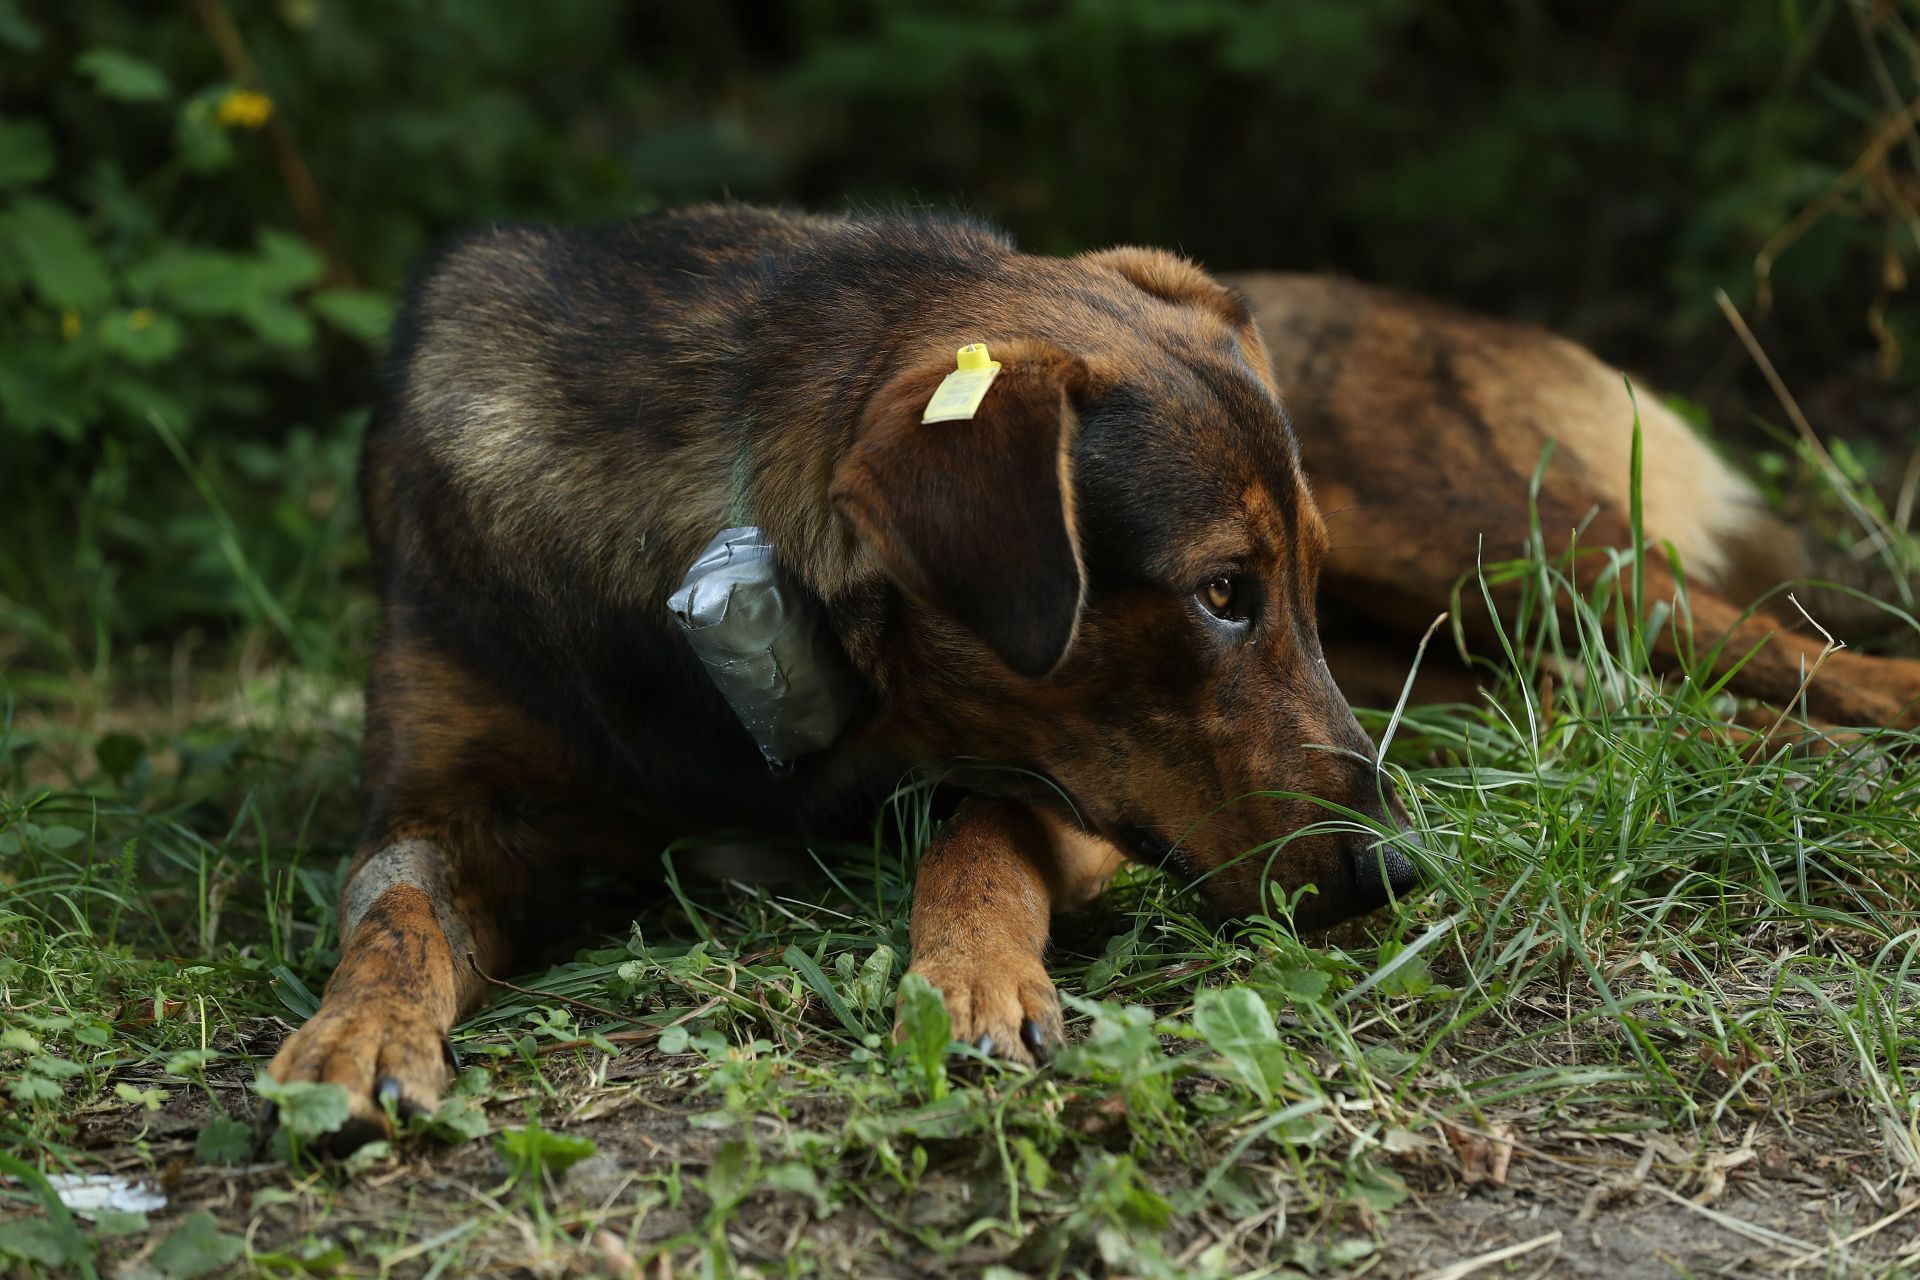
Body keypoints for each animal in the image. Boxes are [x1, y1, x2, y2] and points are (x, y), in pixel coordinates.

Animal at [266, 205, 1920, 1143]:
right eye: (1222, 595)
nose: (1396, 873)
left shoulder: (1080, 787)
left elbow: (978, 835)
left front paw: (972, 976)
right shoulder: (442, 799)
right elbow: (393, 914)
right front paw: (351, 1038)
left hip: (1487, 547)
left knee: (1737, 638)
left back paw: (1868, 726)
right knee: (1597, 699)